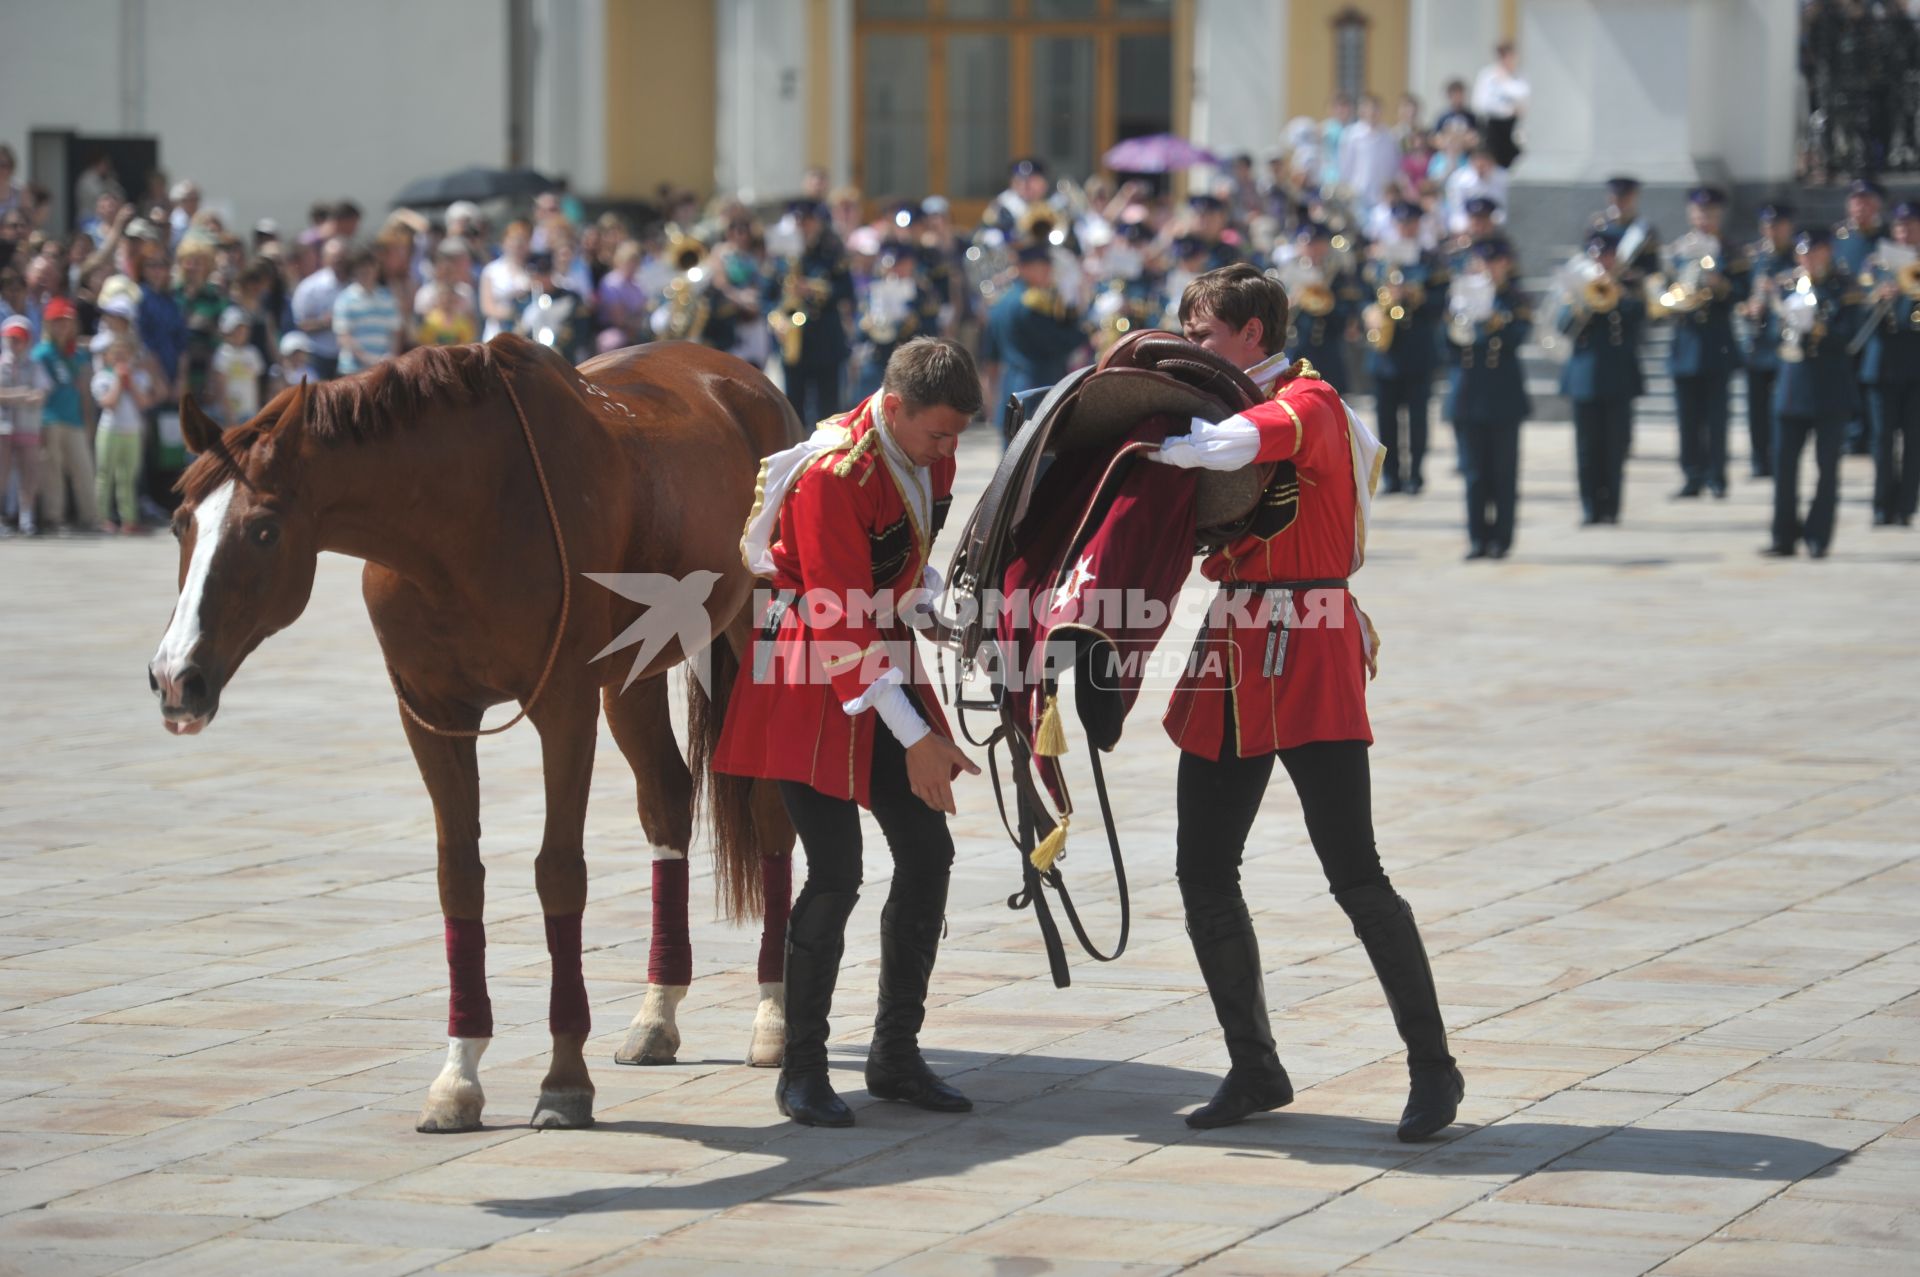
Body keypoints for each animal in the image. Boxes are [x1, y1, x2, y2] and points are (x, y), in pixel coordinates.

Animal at [145, 334, 798, 1129]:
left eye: (264, 530)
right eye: (180, 522)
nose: (176, 677)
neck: (456, 523)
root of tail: (740, 379)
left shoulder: (564, 705)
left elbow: (558, 872)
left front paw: (564, 1079)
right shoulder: (433, 715)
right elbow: (459, 877)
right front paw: (457, 1076)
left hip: (753, 640)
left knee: (769, 811)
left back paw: (773, 1017)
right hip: (632, 676)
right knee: (667, 802)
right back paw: (656, 1015)